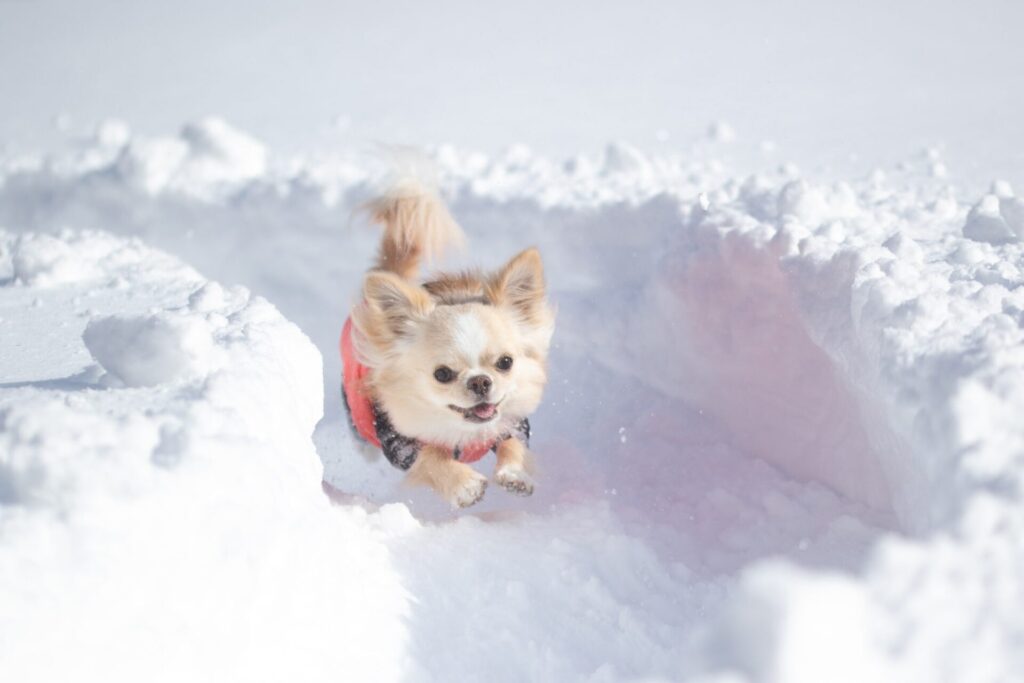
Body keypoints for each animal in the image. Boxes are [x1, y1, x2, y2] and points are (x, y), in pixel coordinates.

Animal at [342, 176, 552, 507]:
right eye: (442, 374)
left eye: (505, 363)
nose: (480, 381)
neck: (463, 432)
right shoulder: (400, 443)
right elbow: (432, 457)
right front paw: (464, 485)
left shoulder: (516, 425)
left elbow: (511, 443)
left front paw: (514, 474)